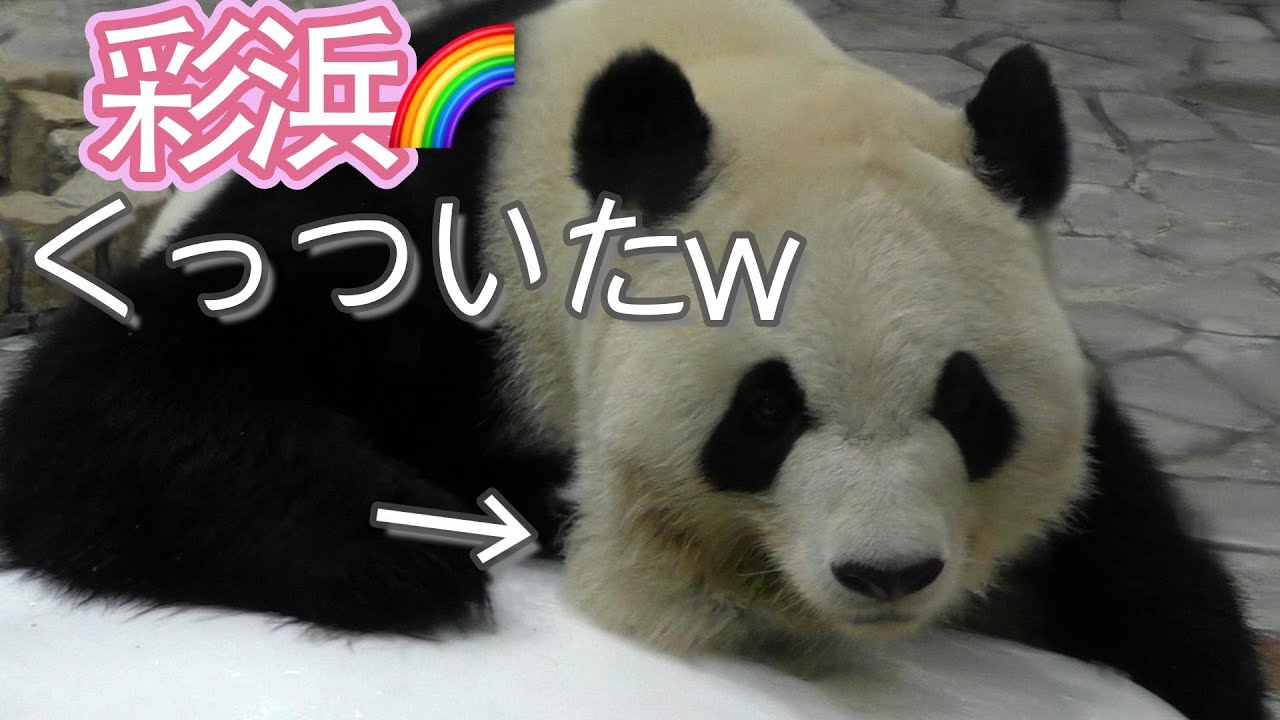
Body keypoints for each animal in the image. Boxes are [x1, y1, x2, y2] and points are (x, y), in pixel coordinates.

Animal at [0, 0, 1267, 718]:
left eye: (967, 404)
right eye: (767, 412)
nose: (886, 574)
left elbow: (1144, 574)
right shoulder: (432, 236)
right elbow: (110, 401)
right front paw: (413, 553)